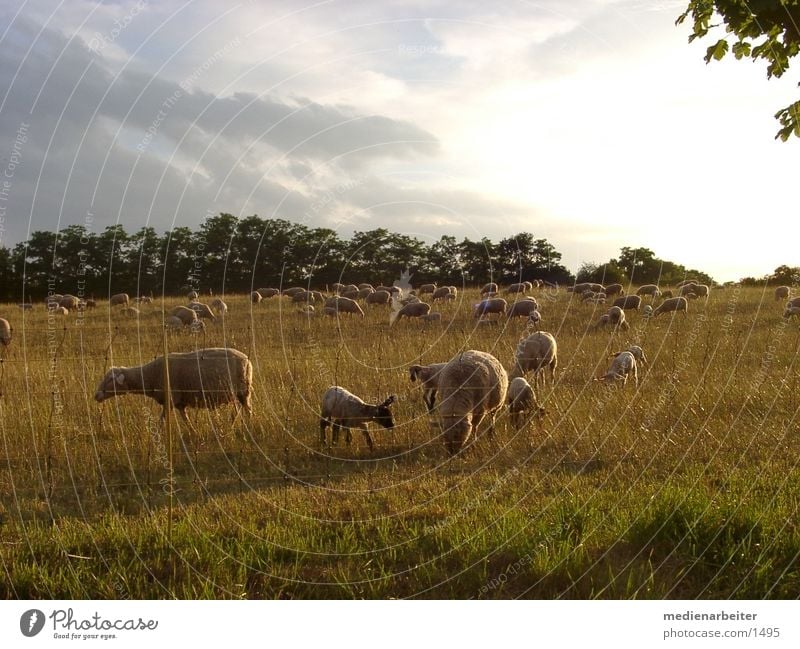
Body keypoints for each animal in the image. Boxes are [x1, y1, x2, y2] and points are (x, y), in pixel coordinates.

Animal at [95, 346, 255, 432]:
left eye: (110, 380)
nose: (96, 395)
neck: (149, 375)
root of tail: (246, 359)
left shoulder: (170, 399)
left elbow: (162, 419)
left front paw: (158, 434)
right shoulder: (179, 402)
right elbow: (185, 419)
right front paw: (193, 432)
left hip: (243, 389)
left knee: (247, 409)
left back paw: (248, 424)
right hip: (237, 392)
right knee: (239, 408)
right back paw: (232, 424)